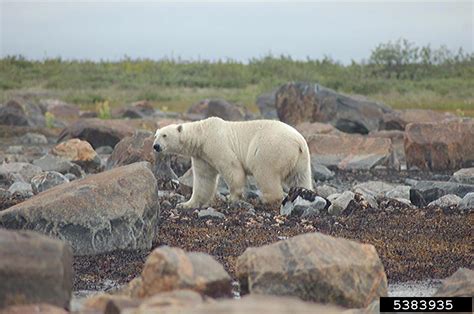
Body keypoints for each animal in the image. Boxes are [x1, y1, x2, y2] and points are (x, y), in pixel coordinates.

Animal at [154, 116, 312, 207]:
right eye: (156, 135)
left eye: (165, 135)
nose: (155, 146)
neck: (202, 134)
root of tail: (298, 142)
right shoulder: (202, 156)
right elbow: (203, 179)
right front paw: (186, 204)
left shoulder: (216, 143)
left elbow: (231, 167)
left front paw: (233, 197)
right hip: (301, 159)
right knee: (300, 178)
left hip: (270, 148)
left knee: (265, 172)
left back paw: (266, 199)